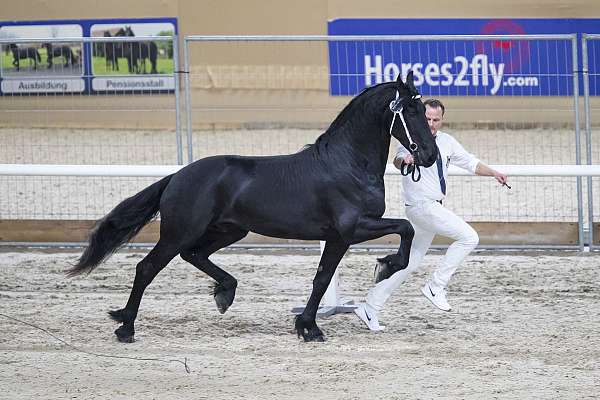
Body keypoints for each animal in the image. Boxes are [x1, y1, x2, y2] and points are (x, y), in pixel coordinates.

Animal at [68, 71, 438, 340]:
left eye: (426, 111)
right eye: (409, 111)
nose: (429, 155)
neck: (347, 164)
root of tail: (177, 176)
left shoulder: (337, 237)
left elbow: (321, 278)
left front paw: (308, 327)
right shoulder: (352, 228)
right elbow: (405, 228)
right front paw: (385, 266)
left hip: (230, 231)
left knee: (194, 254)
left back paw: (224, 293)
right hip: (178, 233)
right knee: (147, 268)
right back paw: (126, 327)